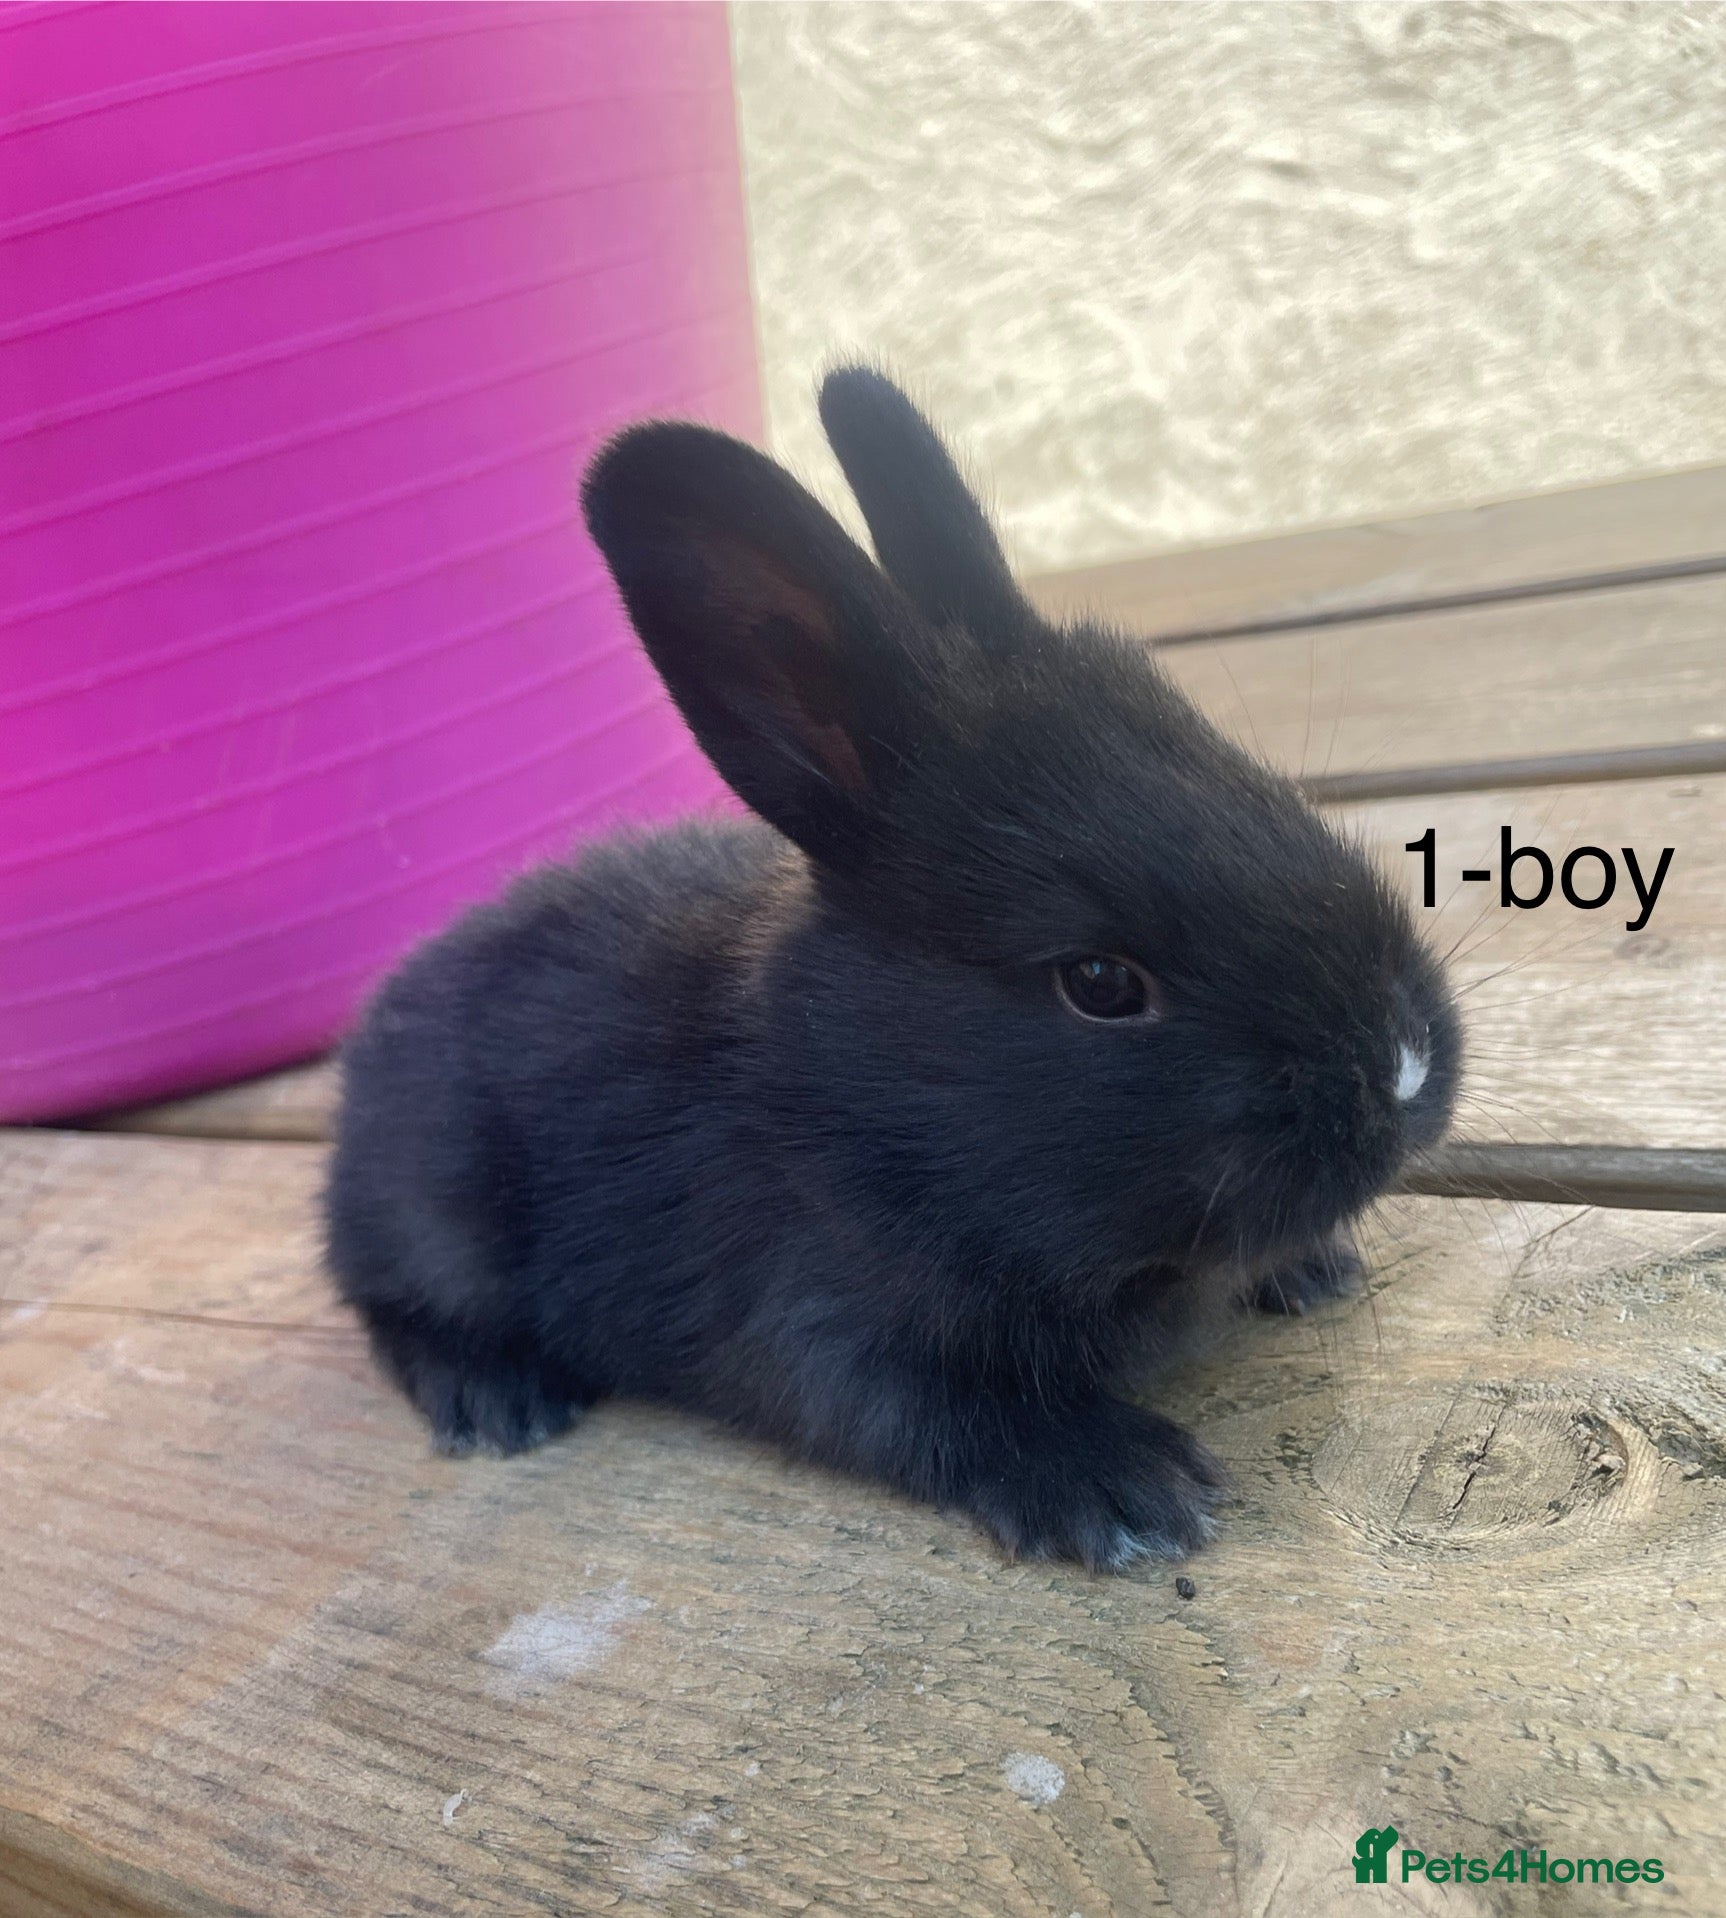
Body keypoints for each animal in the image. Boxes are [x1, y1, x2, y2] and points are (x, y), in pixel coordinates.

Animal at [324, 367, 1460, 1571]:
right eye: (1099, 982)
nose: (1403, 1068)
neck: (869, 1108)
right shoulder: (821, 1326)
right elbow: (939, 1412)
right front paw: (1126, 1489)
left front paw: (1310, 1266)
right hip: (434, 1215)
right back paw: (496, 1398)